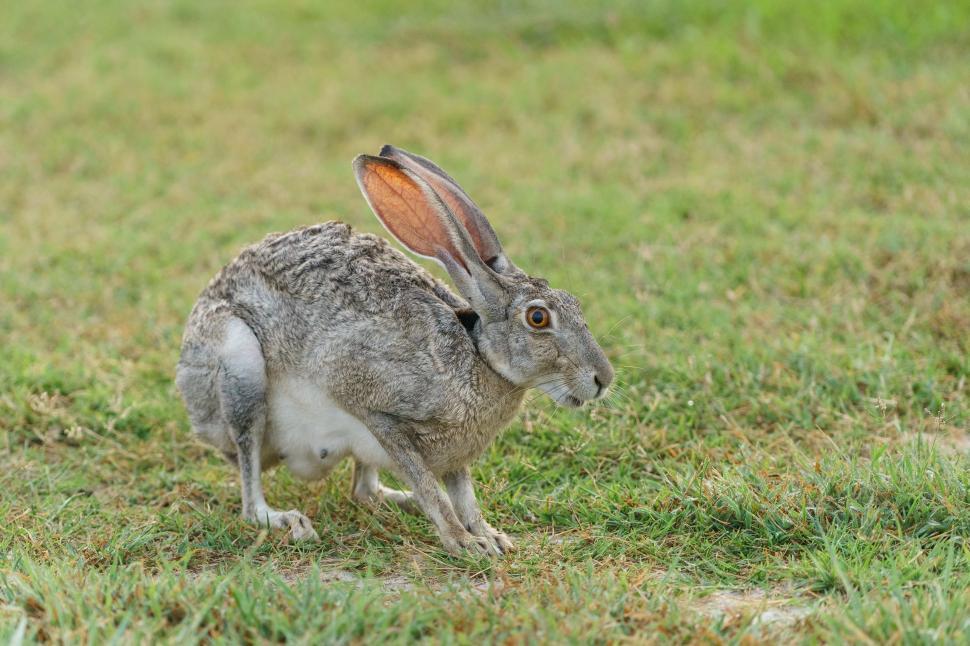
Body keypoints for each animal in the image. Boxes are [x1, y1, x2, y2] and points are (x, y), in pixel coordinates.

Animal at [175, 145, 614, 555]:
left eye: (574, 302)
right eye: (538, 318)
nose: (603, 379)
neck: (478, 356)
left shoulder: (454, 456)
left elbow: (463, 495)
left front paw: (491, 537)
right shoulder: (378, 412)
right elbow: (431, 489)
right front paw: (464, 542)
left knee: (365, 491)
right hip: (241, 368)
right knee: (250, 485)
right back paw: (287, 520)